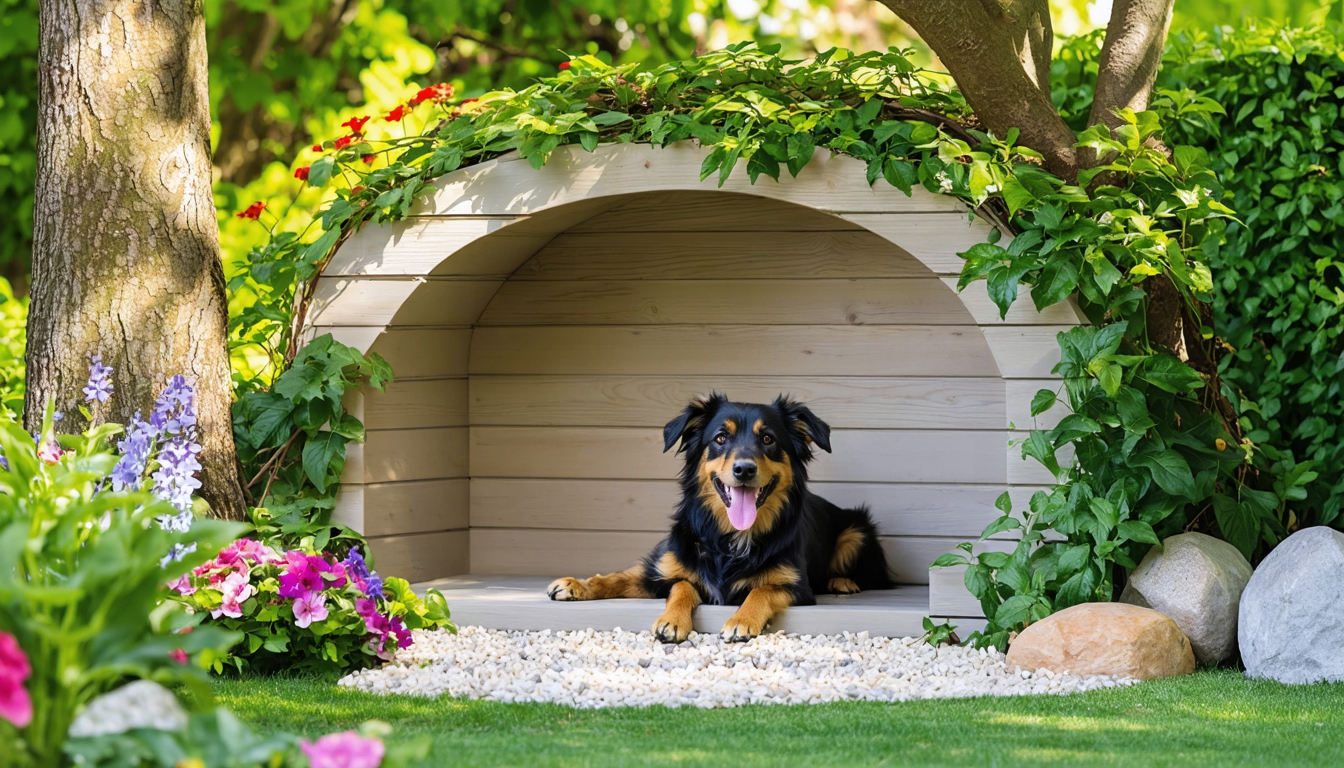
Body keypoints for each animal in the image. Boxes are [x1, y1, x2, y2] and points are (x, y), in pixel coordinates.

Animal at [545, 395, 892, 642]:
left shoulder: (797, 587)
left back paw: (842, 581)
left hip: (856, 531)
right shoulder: (662, 571)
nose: (744, 469)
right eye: (721, 438)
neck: (730, 538)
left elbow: (761, 589)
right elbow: (672, 583)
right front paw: (579, 585)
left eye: (768, 439)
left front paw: (741, 620)